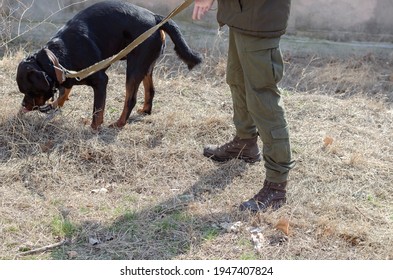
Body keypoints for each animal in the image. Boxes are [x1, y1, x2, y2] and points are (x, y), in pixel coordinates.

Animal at [16, 0, 201, 130]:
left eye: (31, 91)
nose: (24, 105)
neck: (57, 56)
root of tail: (157, 18)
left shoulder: (100, 81)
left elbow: (97, 110)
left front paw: (94, 128)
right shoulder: (67, 75)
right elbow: (65, 90)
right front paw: (56, 105)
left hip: (134, 68)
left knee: (131, 99)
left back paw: (119, 123)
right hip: (145, 66)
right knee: (150, 90)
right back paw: (145, 111)